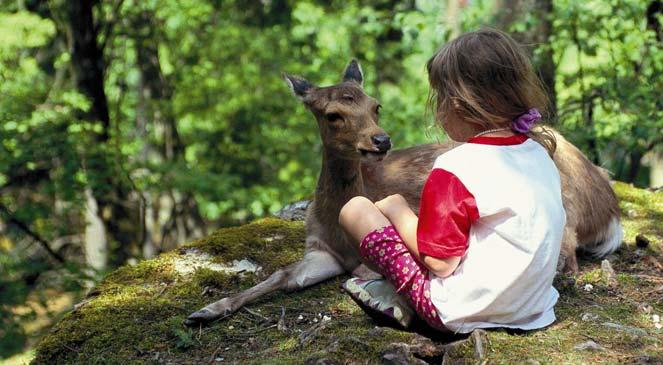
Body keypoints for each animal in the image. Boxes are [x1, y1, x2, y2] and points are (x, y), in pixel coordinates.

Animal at [185, 60, 624, 328]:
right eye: (333, 114)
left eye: (375, 105)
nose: (381, 141)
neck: (335, 223)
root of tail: (609, 206)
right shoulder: (319, 249)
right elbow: (281, 276)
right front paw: (204, 310)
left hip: (565, 208)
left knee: (568, 258)